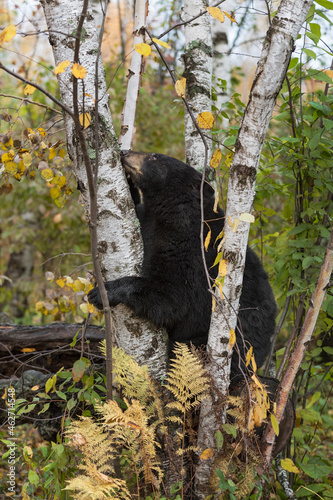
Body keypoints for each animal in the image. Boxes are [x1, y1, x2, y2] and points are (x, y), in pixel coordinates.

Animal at [87, 150, 274, 376]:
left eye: (155, 157)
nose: (125, 152)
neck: (172, 214)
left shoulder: (194, 252)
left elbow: (174, 297)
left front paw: (104, 291)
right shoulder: (148, 220)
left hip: (232, 344)